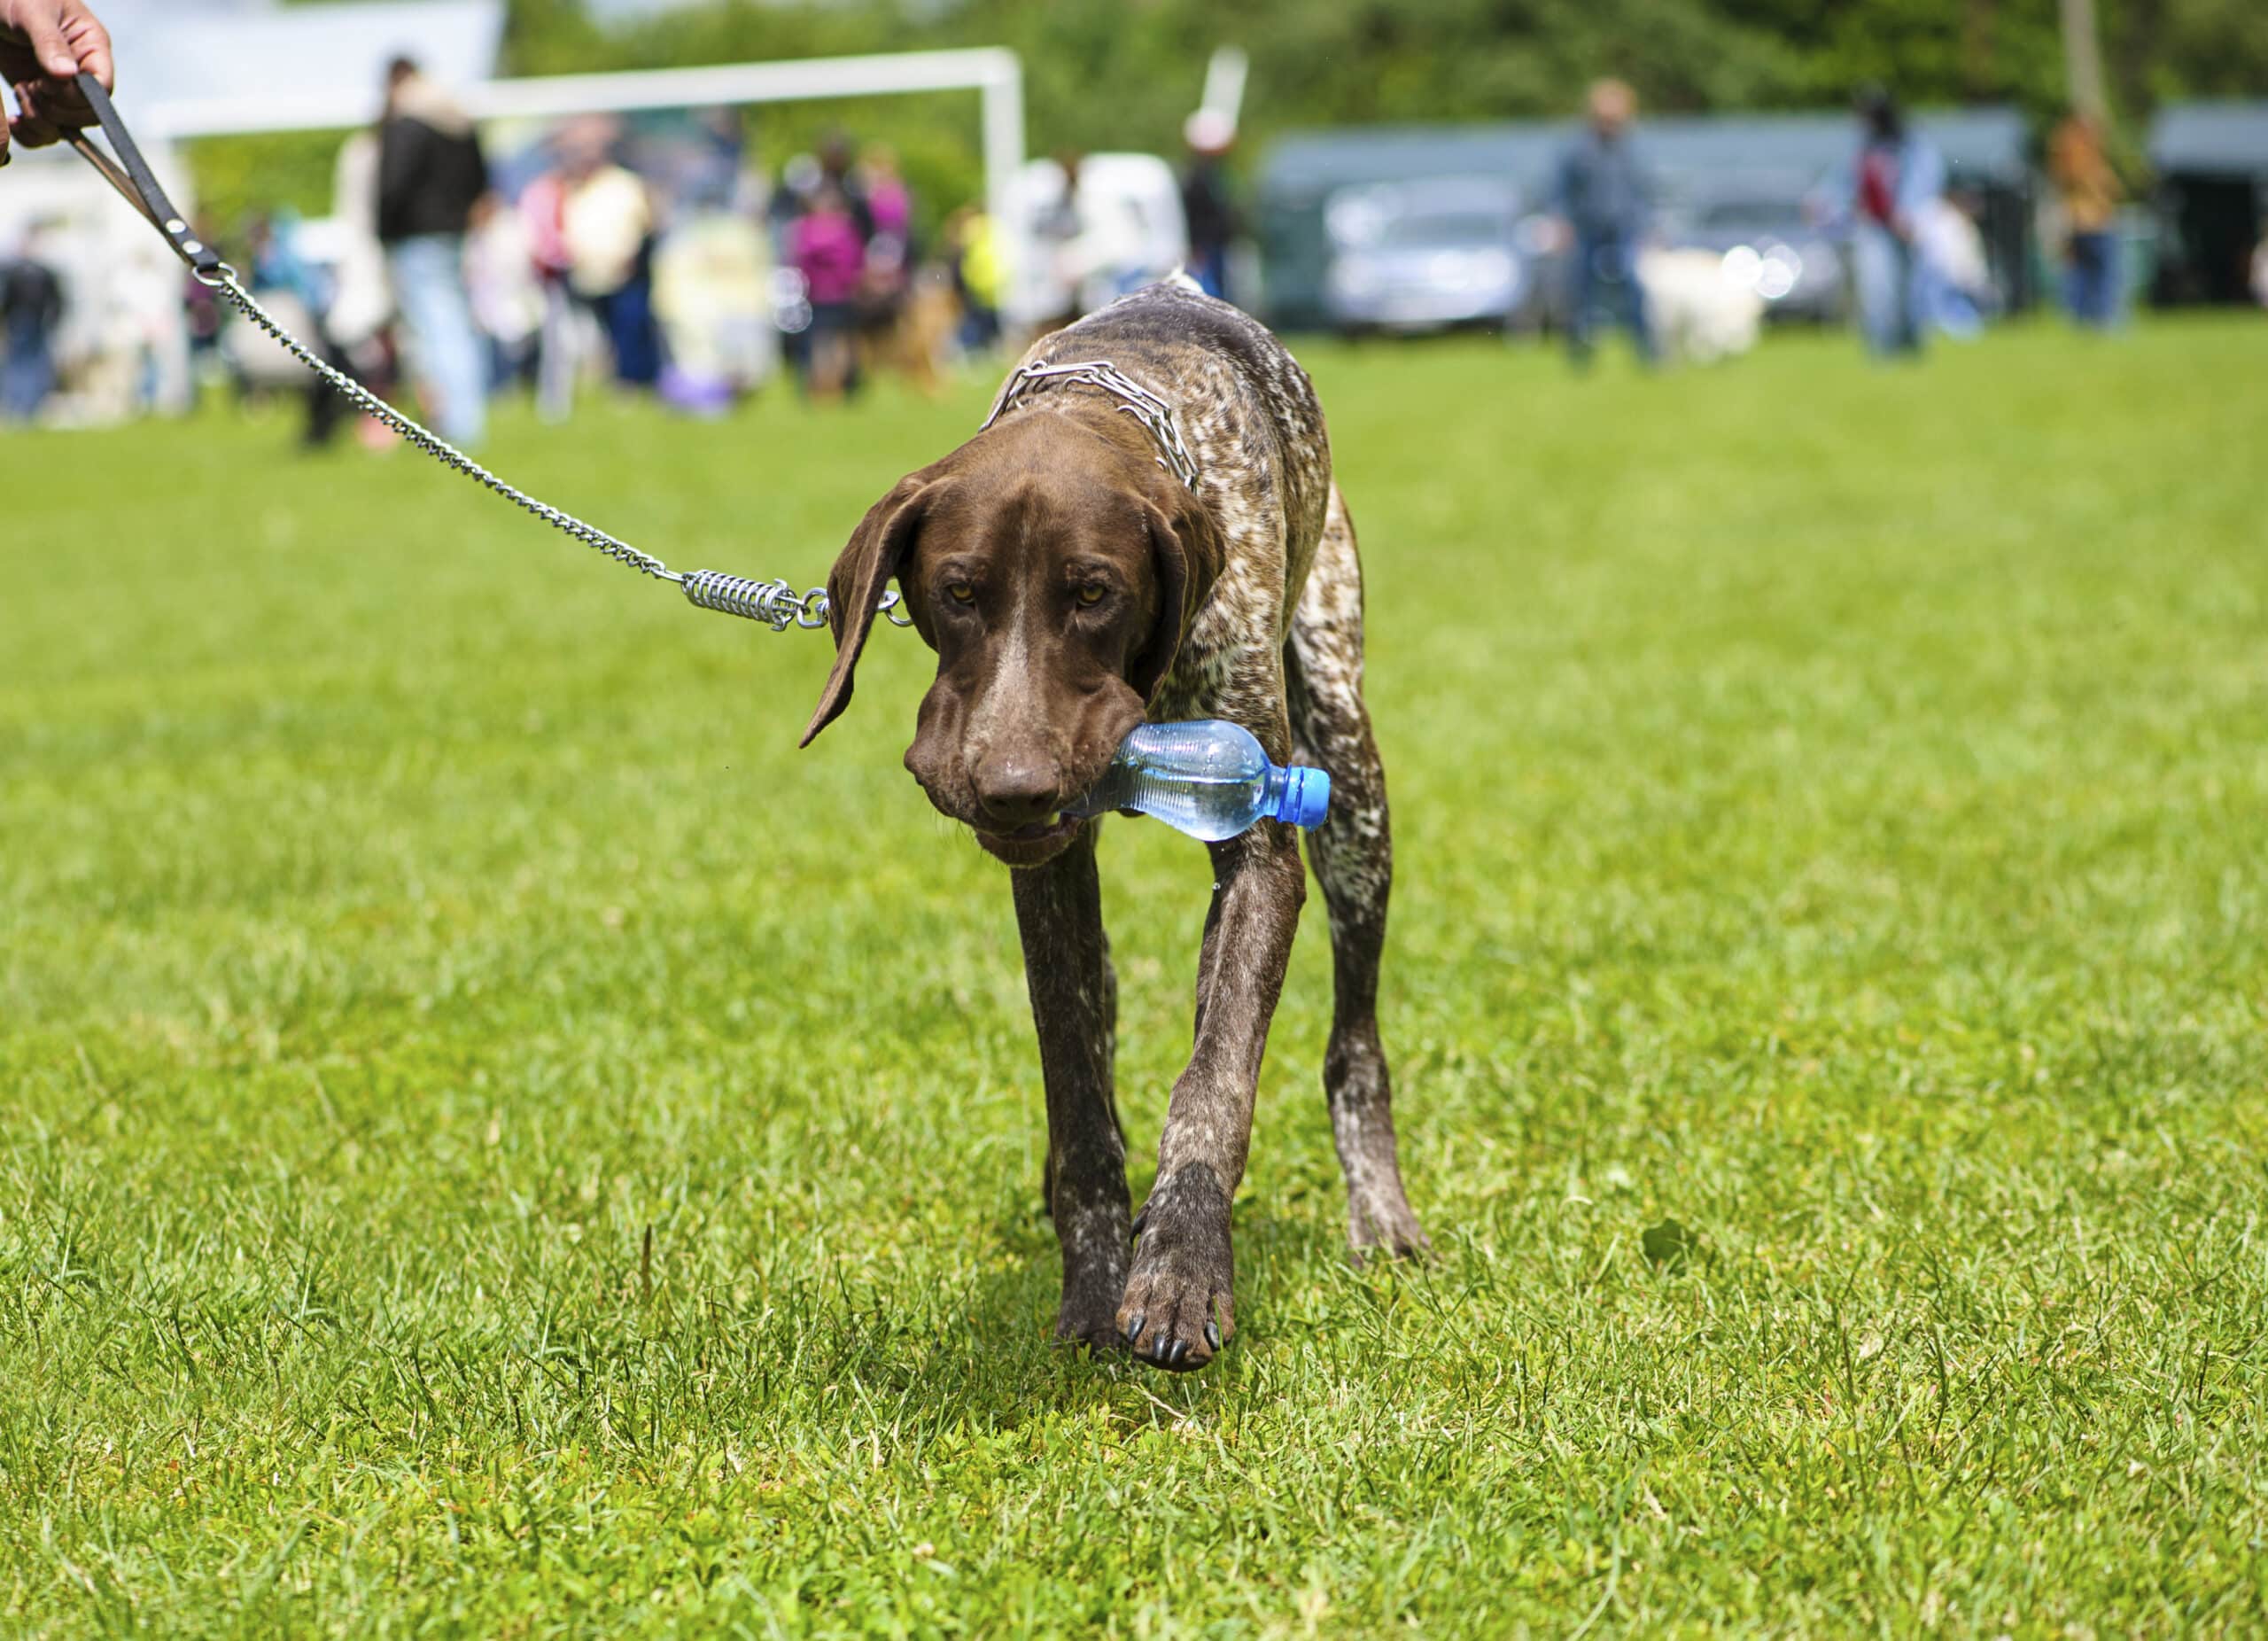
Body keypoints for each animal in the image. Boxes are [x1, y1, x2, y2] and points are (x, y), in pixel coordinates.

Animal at [807, 276, 1424, 1371]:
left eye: (1096, 592)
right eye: (956, 592)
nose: (1012, 784)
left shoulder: (1261, 850)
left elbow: (1214, 1082)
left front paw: (1180, 1265)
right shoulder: (1049, 877)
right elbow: (1082, 1096)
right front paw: (1096, 1278)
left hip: (1351, 784)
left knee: (1352, 1040)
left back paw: (1378, 1213)